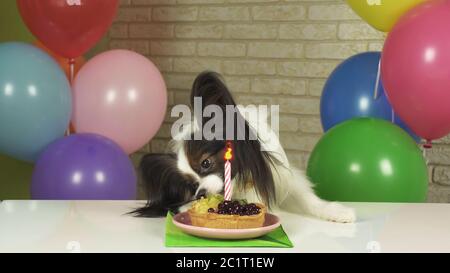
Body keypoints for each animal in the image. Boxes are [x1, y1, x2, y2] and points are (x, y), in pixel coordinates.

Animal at [134, 71, 356, 222]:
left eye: (206, 163)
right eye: (191, 185)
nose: (200, 194)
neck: (242, 178)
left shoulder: (283, 180)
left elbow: (308, 199)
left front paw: (337, 211)